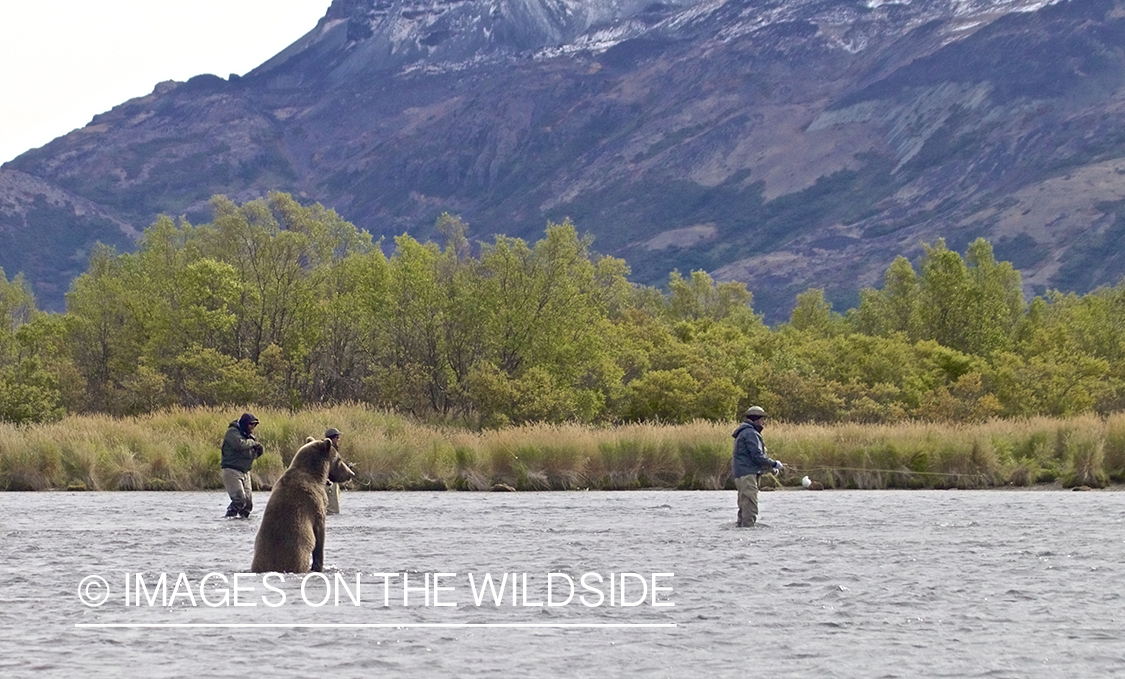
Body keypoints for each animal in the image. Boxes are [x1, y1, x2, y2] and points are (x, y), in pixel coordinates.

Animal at [250, 433, 355, 573]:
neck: (316, 475)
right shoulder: (316, 504)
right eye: (339, 459)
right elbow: (319, 535)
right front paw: (318, 566)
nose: (351, 473)